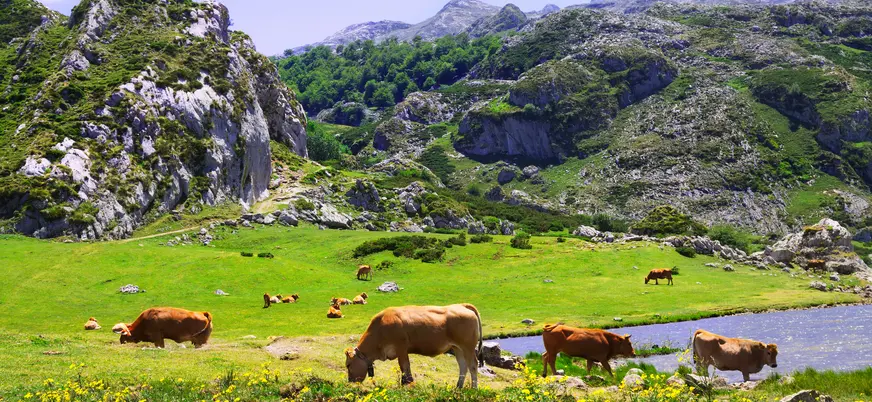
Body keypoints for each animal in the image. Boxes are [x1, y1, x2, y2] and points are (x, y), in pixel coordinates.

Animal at [344, 304, 483, 388]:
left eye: (348, 365)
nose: (350, 382)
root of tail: (461, 305)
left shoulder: (401, 348)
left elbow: (405, 366)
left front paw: (407, 383)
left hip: (468, 347)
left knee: (473, 365)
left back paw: (473, 388)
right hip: (457, 348)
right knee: (463, 366)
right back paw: (458, 387)